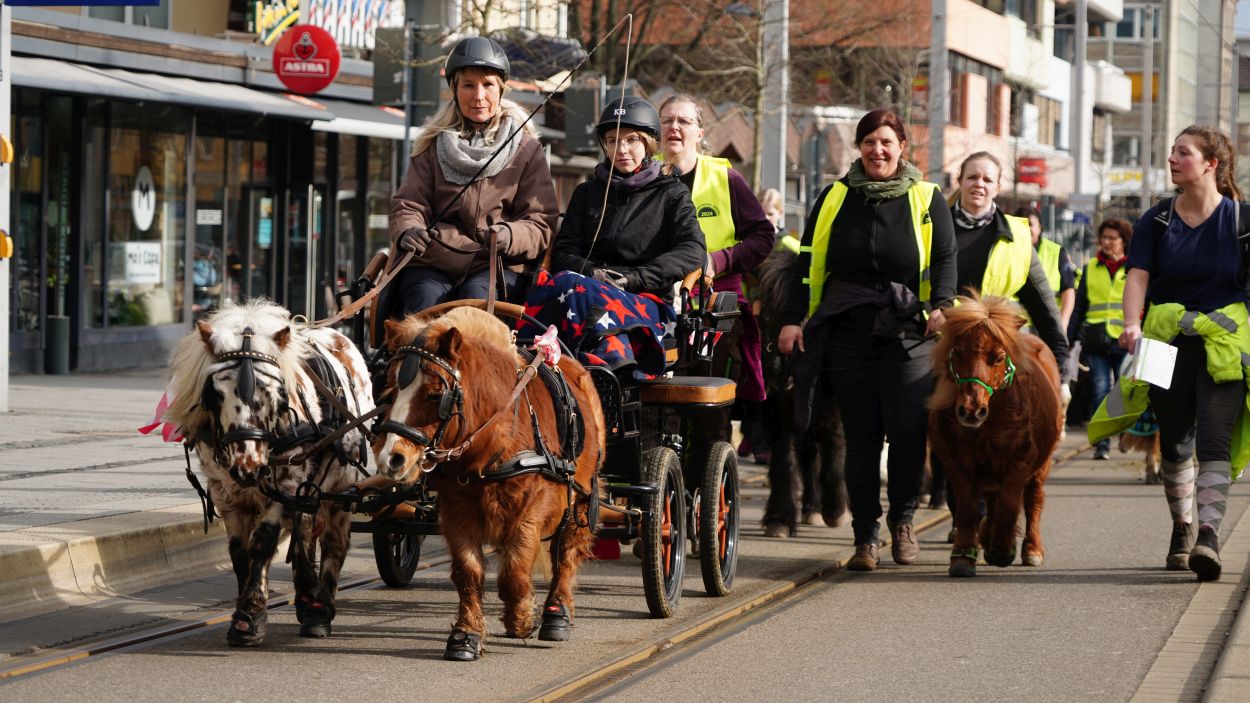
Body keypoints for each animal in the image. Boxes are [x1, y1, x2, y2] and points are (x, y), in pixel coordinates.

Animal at [165, 300, 373, 645]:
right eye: (216, 393)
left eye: (273, 392)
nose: (248, 466)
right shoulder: (225, 492)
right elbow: (240, 552)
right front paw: (246, 610)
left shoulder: (286, 486)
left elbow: (262, 541)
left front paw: (250, 615)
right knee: (305, 530)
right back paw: (306, 594)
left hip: (341, 484)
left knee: (334, 541)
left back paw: (319, 610)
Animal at [372, 305, 605, 662]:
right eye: (390, 391)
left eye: (436, 394)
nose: (391, 457)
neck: (495, 437)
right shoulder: (456, 510)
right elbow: (468, 572)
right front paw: (465, 635)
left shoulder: (533, 506)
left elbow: (514, 569)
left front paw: (522, 619)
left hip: (579, 497)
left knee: (566, 552)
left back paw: (557, 613)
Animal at [751, 244, 848, 537]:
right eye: (764, 314)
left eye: (809, 315)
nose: (776, 369)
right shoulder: (776, 413)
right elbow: (784, 462)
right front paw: (779, 519)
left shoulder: (834, 412)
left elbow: (834, 455)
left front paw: (836, 510)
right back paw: (811, 507)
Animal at [928, 294, 1062, 577]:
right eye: (958, 351)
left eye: (998, 357)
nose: (971, 410)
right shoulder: (957, 462)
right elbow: (968, 506)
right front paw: (964, 555)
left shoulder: (1021, 460)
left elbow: (1010, 502)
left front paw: (1002, 549)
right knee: (991, 499)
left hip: (1041, 464)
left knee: (1033, 498)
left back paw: (1031, 548)